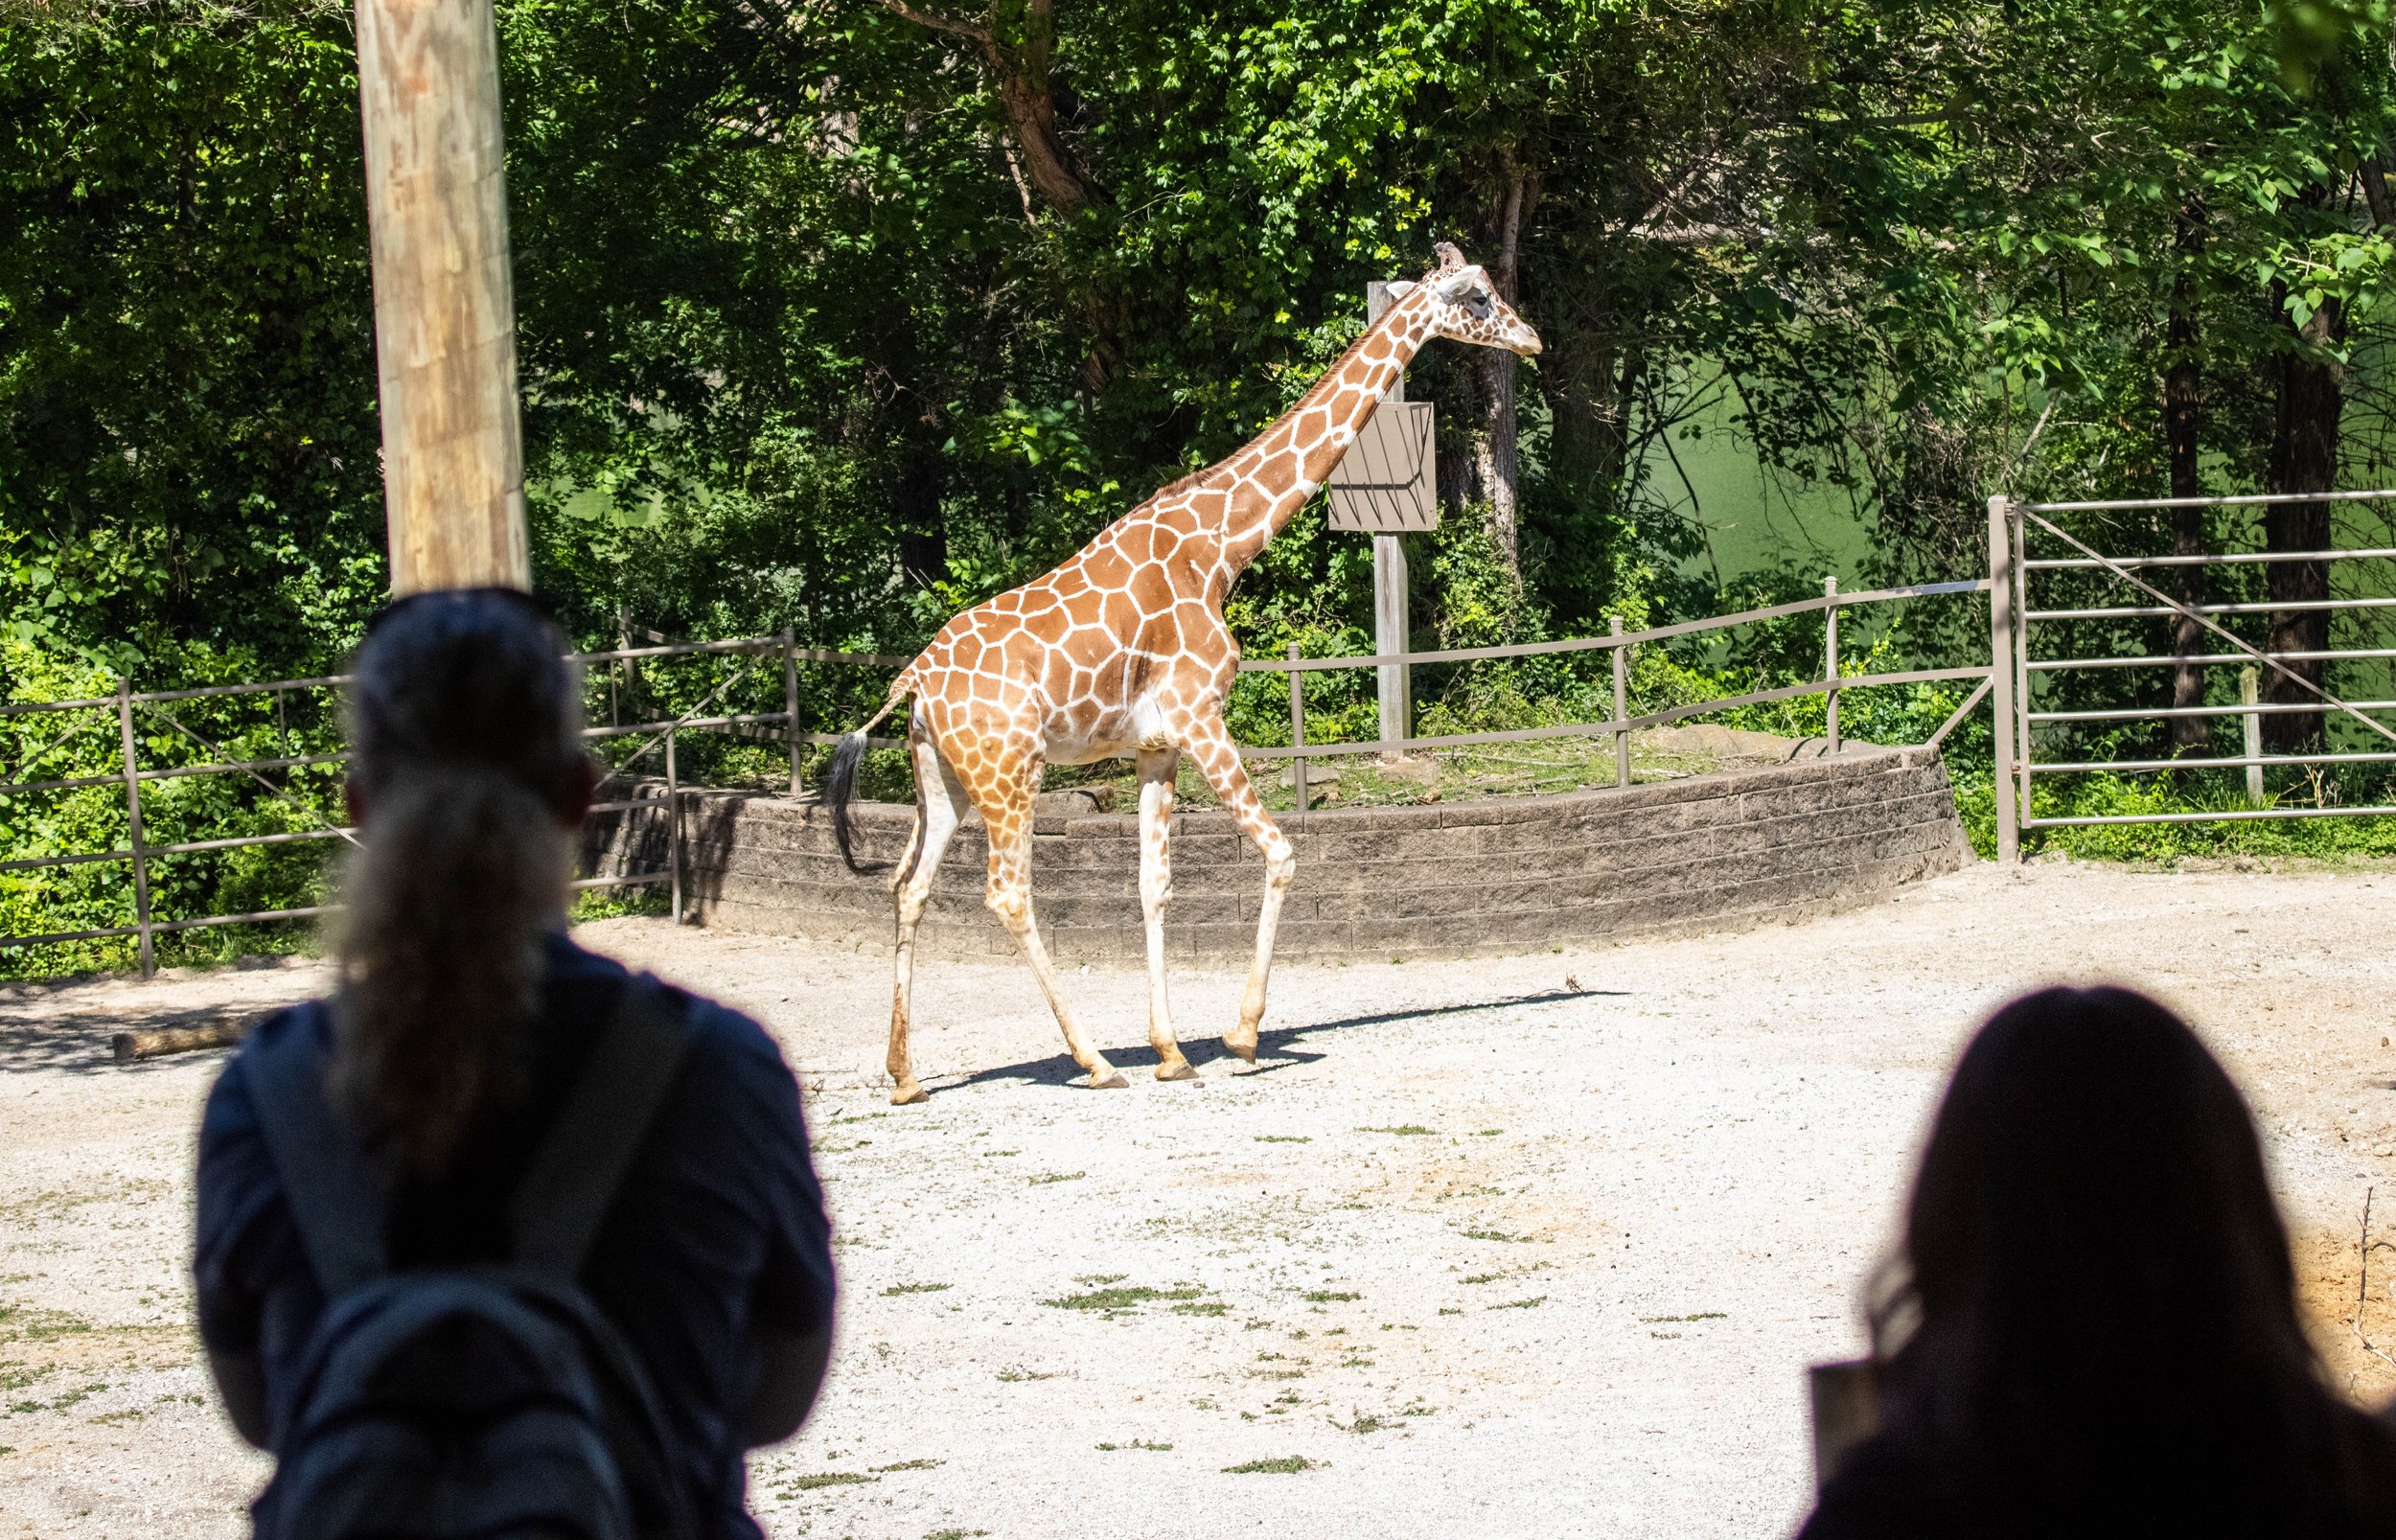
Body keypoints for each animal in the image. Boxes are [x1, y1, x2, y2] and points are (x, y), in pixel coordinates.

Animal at [822, 243, 1542, 1104]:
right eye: (1479, 298)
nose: (1533, 338)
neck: (1222, 547)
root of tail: (915, 682)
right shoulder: (1202, 716)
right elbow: (1281, 852)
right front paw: (1241, 1034)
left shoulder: (1156, 745)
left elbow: (1153, 885)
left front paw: (1170, 1049)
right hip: (1011, 772)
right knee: (1007, 891)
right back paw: (1092, 1060)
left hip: (945, 778)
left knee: (909, 885)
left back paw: (904, 1073)